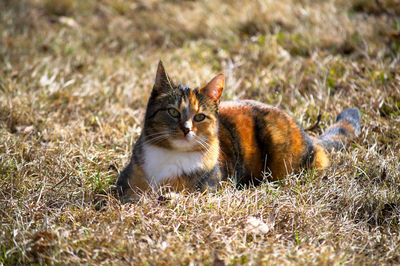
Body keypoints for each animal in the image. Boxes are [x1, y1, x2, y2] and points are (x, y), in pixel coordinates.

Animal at [116, 61, 362, 201]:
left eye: (199, 117)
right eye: (173, 112)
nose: (186, 129)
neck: (171, 156)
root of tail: (308, 136)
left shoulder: (211, 187)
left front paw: (165, 197)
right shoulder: (125, 182)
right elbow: (128, 194)